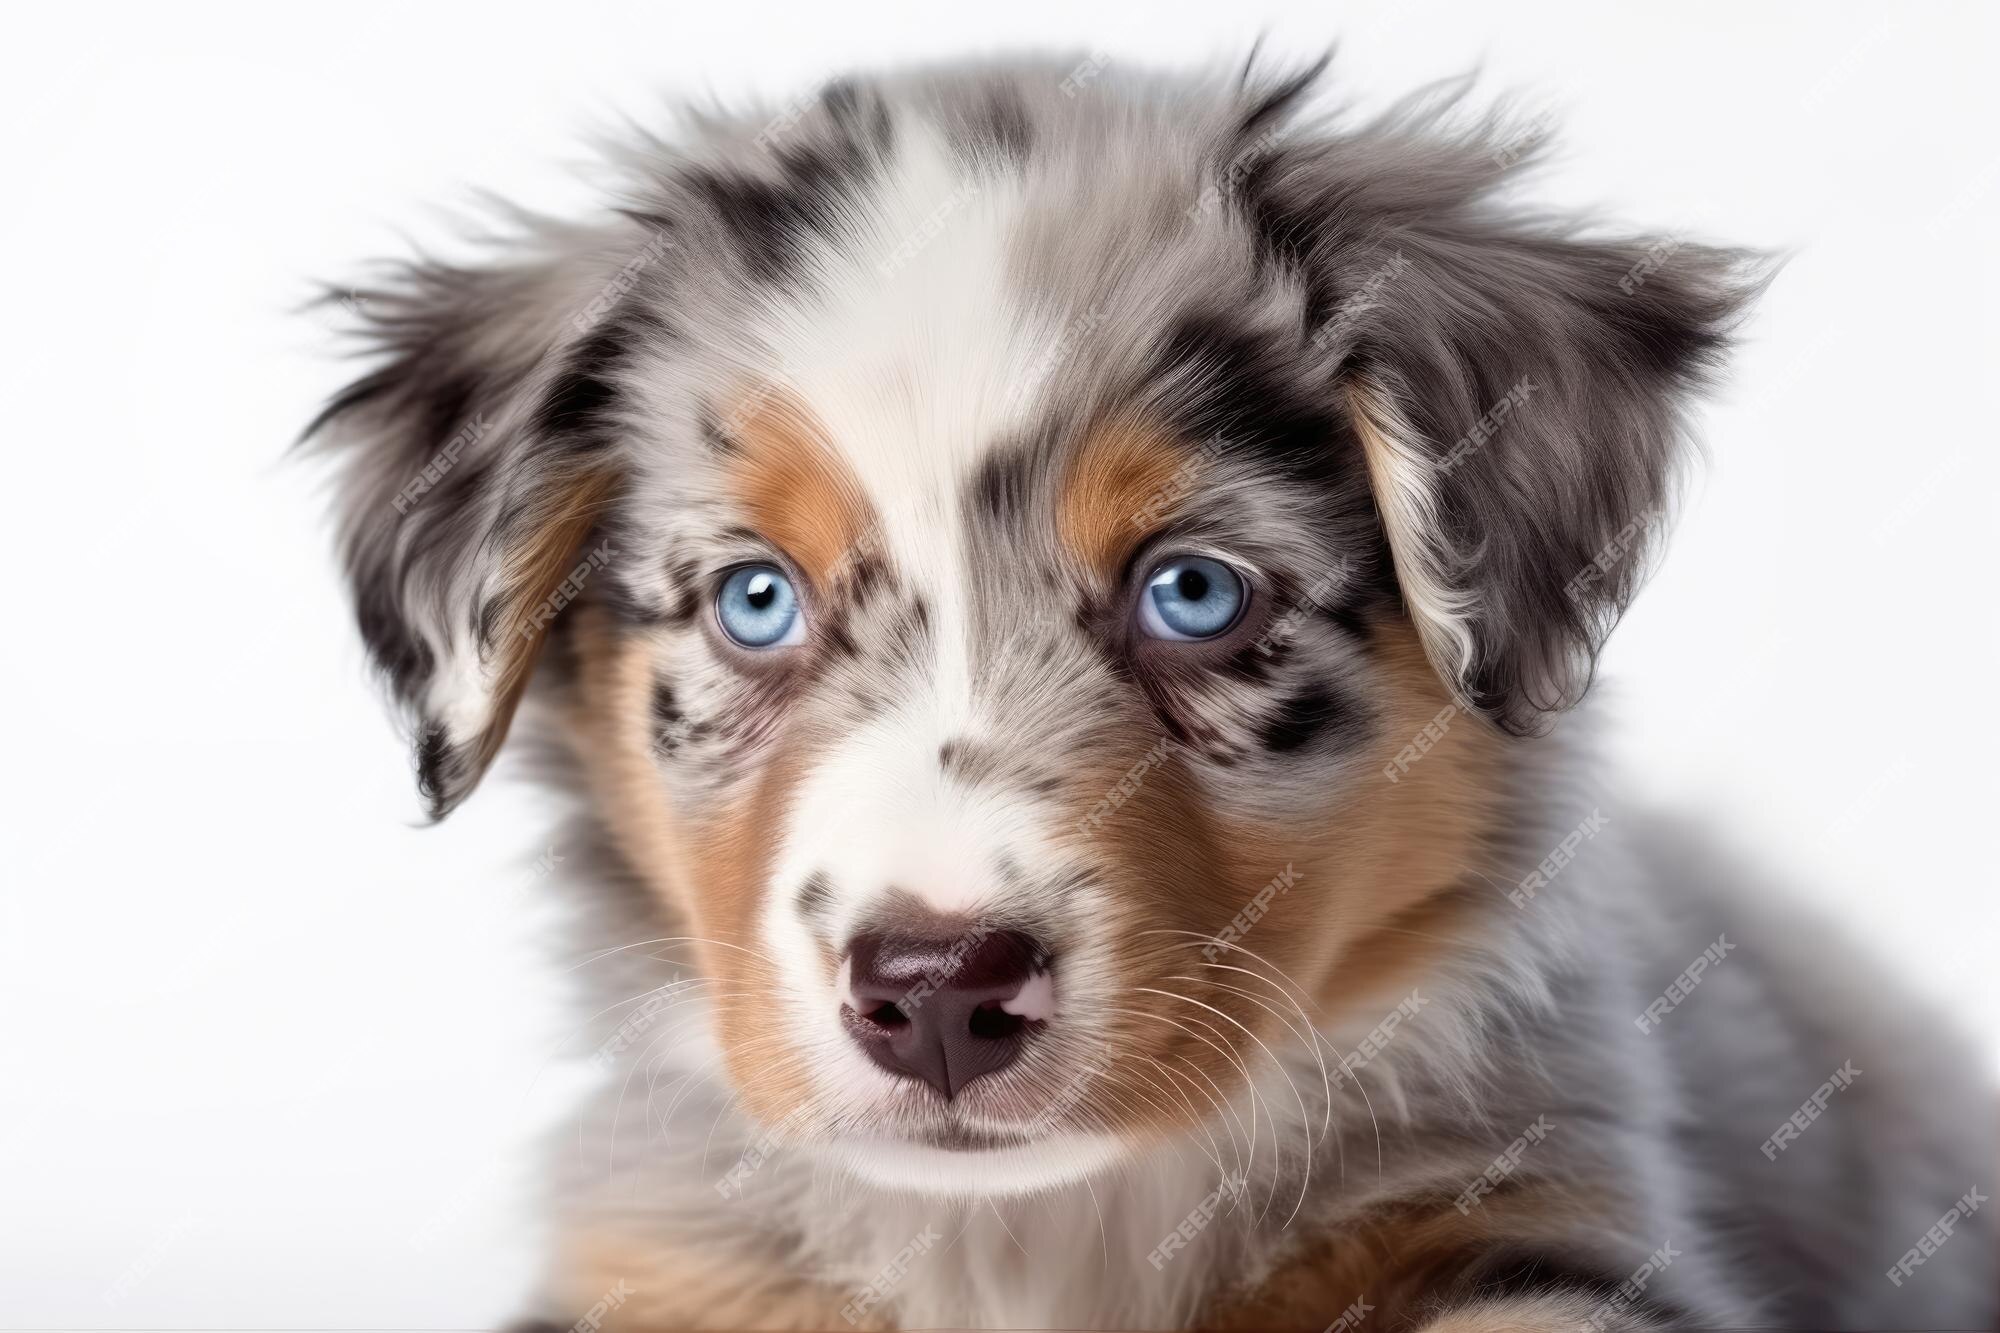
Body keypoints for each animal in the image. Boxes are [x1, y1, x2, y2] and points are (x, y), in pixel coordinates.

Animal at [304, 54, 1992, 1328]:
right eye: (755, 600)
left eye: (1193, 592)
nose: (937, 990)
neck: (1040, 1234)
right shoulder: (660, 1263)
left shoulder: (1540, 1207)